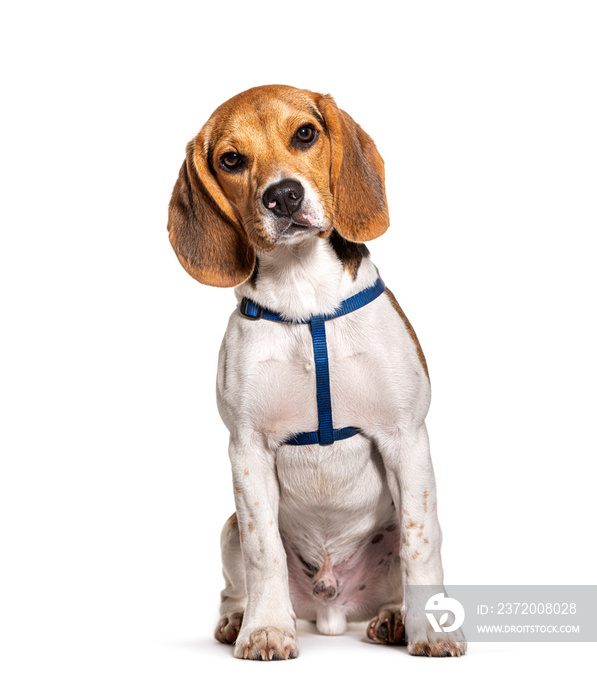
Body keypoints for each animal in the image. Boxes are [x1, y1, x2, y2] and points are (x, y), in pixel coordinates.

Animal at [168, 85, 466, 660]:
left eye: (305, 133)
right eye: (231, 160)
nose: (283, 196)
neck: (304, 296)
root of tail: (332, 608)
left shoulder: (406, 436)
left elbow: (420, 541)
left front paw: (431, 632)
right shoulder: (247, 449)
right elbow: (264, 551)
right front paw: (264, 629)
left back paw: (395, 618)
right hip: (228, 528)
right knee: (237, 577)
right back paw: (236, 618)